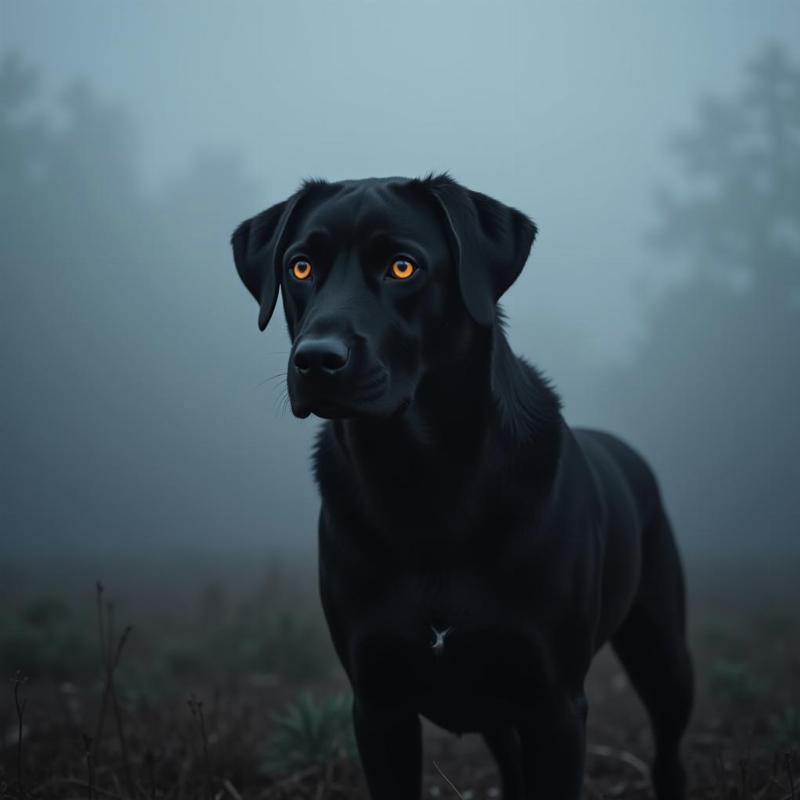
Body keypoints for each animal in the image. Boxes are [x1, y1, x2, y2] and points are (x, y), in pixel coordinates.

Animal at [231, 175, 692, 800]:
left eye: (403, 267)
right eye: (300, 268)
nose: (317, 360)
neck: (422, 477)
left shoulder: (554, 704)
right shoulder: (378, 703)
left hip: (662, 650)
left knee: (668, 751)